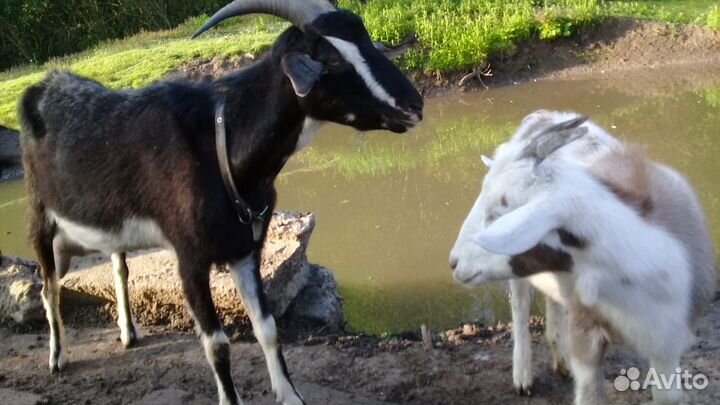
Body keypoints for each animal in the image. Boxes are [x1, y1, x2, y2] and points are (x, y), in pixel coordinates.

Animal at [19, 1, 423, 404]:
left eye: (367, 39)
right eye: (333, 59)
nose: (414, 105)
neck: (221, 148)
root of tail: (43, 84)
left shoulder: (246, 249)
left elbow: (268, 328)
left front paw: (290, 396)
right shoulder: (190, 259)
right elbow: (217, 345)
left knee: (118, 265)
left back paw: (128, 334)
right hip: (40, 217)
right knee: (49, 286)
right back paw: (58, 357)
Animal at [449, 110, 716, 404]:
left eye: (498, 213)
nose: (454, 262)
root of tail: (543, 114)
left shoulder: (668, 342)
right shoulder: (586, 336)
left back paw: (560, 359)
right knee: (520, 305)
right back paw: (523, 376)